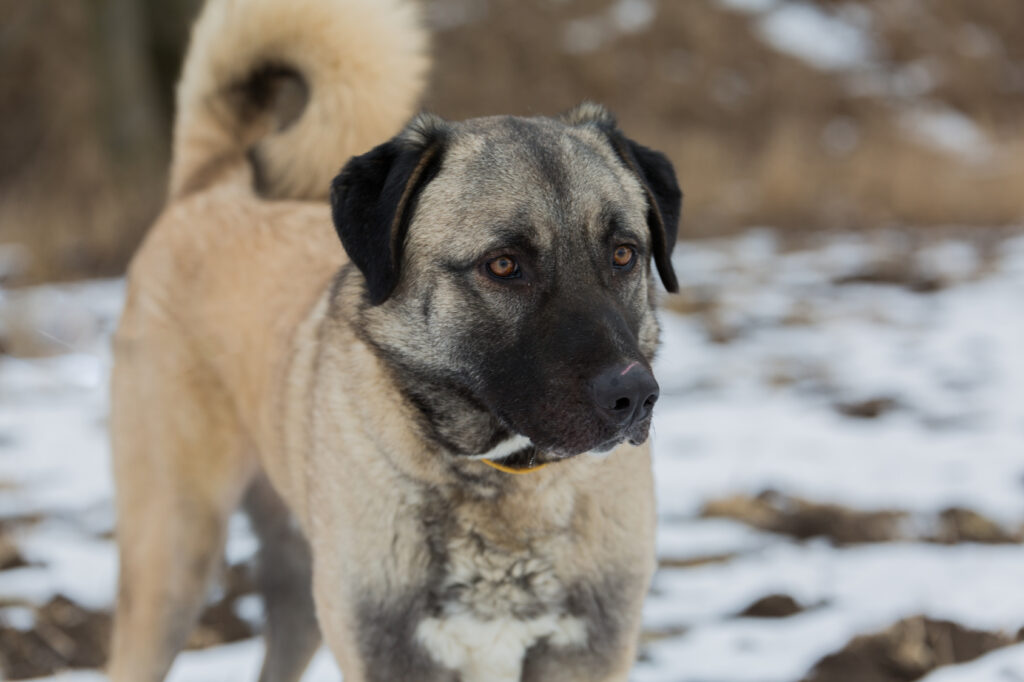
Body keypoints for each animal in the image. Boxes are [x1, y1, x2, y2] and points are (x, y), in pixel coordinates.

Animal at [108, 1, 684, 679]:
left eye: (624, 254)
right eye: (504, 265)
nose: (633, 397)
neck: (501, 482)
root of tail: (211, 188)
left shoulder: (589, 651)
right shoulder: (387, 653)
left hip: (296, 589)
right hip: (172, 562)